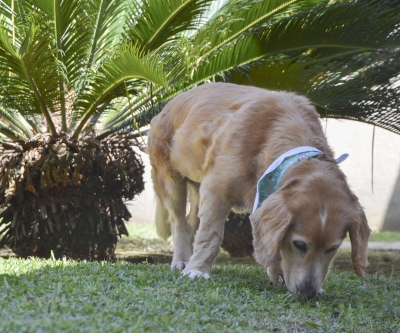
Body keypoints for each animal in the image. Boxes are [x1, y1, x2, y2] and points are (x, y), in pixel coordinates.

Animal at [148, 81, 370, 296]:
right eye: (300, 244)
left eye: (332, 248)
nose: (308, 293)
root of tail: (171, 101)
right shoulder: (215, 192)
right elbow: (210, 235)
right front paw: (197, 270)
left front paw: (276, 273)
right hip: (170, 180)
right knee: (178, 222)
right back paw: (182, 260)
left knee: (190, 221)